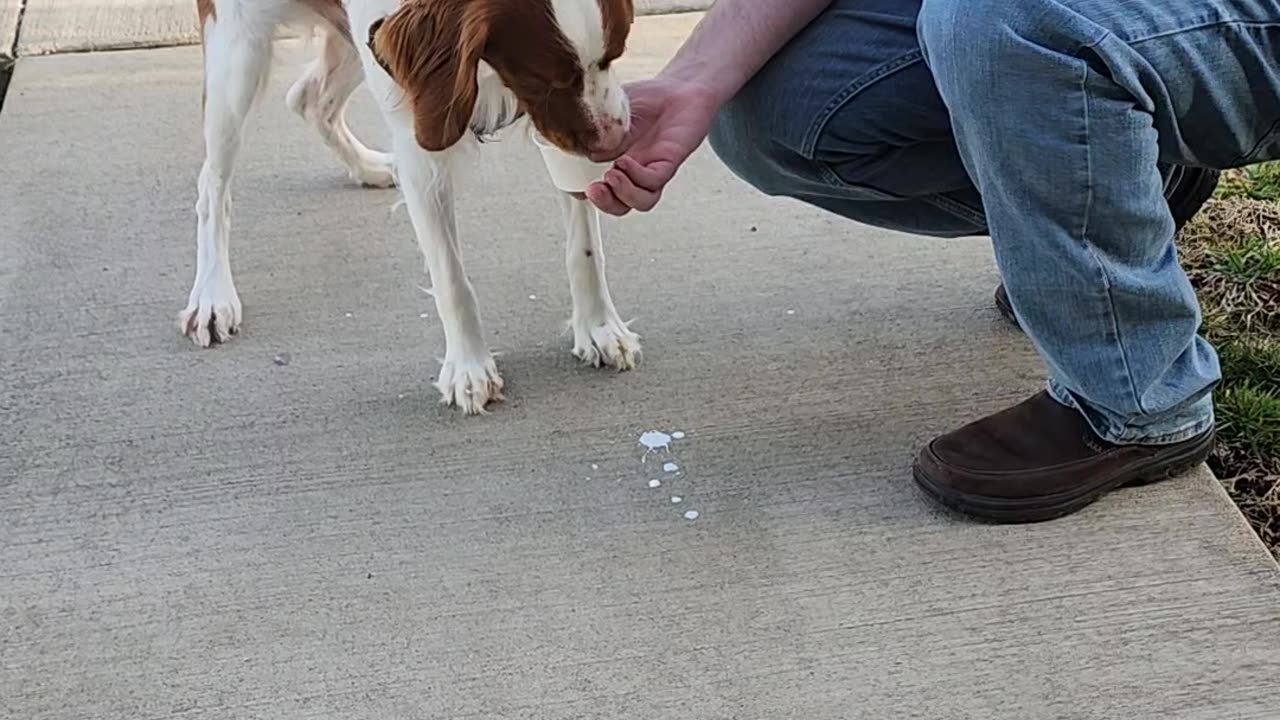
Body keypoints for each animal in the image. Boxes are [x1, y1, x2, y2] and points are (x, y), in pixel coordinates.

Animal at [180, 0, 640, 412]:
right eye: (548, 78)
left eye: (617, 52)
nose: (616, 142)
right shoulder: (422, 142)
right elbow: (451, 279)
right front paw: (469, 367)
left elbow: (584, 248)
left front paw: (599, 327)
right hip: (237, 55)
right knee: (212, 185)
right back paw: (212, 295)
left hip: (359, 47)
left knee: (308, 99)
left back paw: (368, 167)